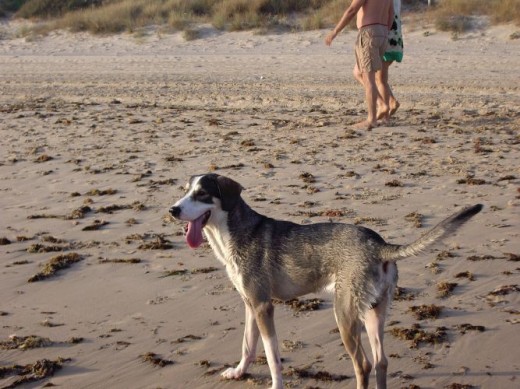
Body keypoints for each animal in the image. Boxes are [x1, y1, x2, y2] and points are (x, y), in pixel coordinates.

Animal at [171, 174, 484, 388]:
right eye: (185, 191)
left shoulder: (263, 307)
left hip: (344, 315)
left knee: (364, 365)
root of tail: (380, 245)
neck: (233, 233)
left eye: (202, 194)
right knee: (381, 361)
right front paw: (239, 372)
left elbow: (272, 357)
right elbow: (248, 345)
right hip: (373, 313)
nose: (172, 210)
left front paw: (275, 385)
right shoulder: (250, 304)